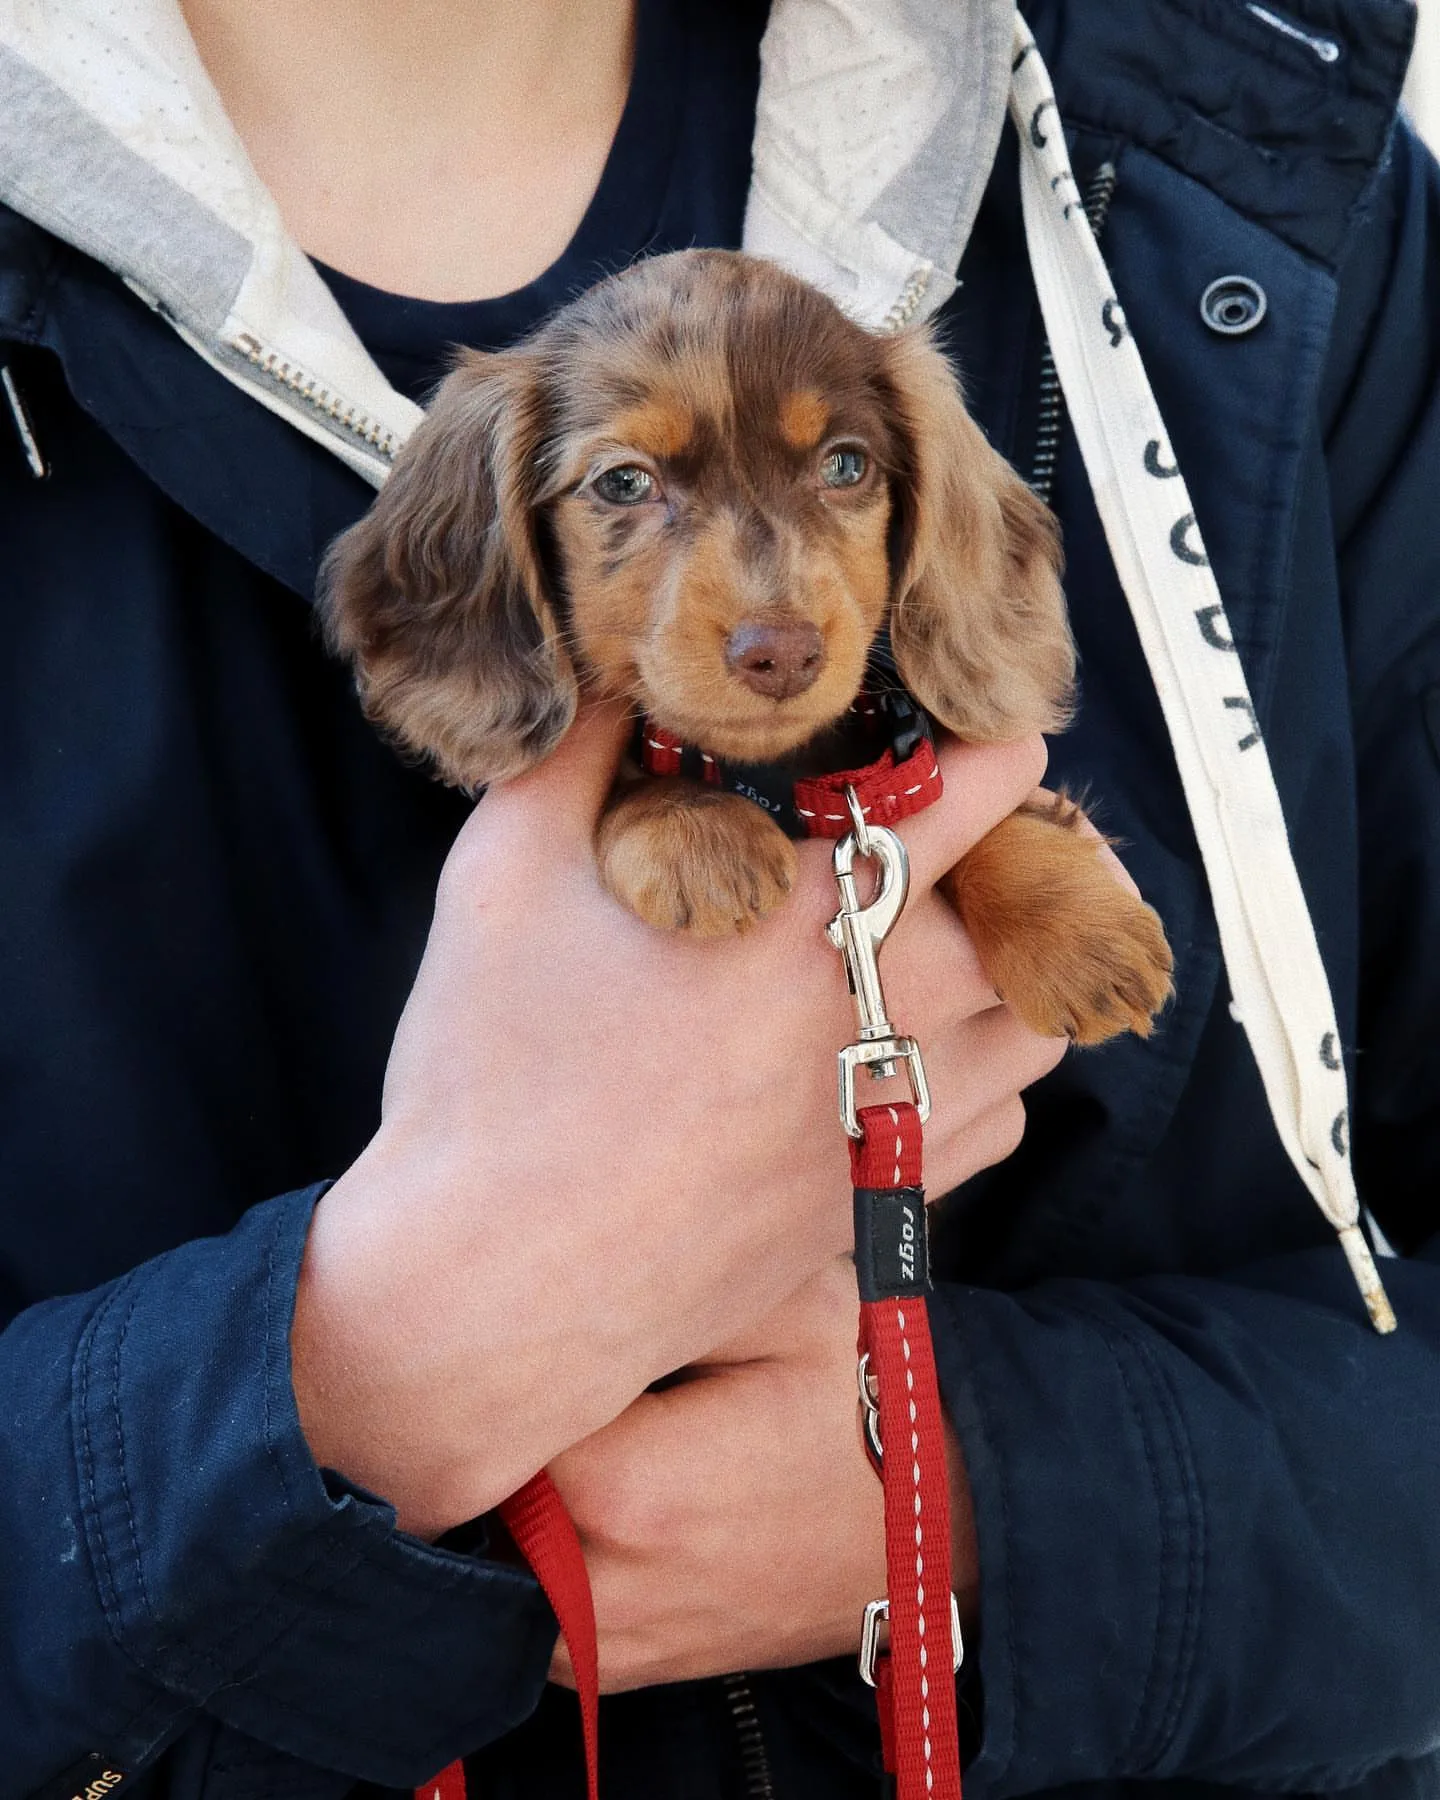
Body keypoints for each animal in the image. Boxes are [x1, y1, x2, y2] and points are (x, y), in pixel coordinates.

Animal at [324, 250, 1166, 1044]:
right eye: (623, 482)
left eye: (846, 465)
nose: (784, 654)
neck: (777, 774)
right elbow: (649, 769)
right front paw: (696, 829)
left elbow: (985, 814)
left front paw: (1076, 928)